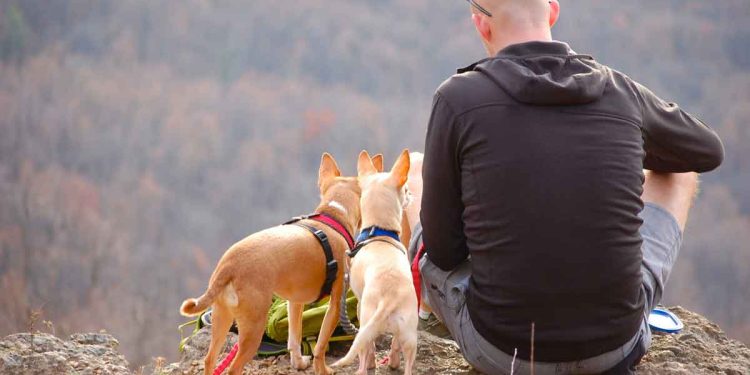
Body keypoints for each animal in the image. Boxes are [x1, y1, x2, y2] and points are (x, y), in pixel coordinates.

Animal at [179, 153, 362, 375]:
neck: (333, 216)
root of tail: (228, 266)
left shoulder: (295, 302)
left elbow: (294, 338)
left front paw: (299, 363)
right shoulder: (335, 304)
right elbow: (320, 346)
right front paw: (323, 370)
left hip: (222, 317)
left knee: (209, 359)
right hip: (253, 327)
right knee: (233, 368)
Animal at [336, 151, 424, 375]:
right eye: (406, 190)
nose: (411, 195)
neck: (378, 232)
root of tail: (389, 299)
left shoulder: (359, 304)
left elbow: (371, 350)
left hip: (366, 324)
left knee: (363, 355)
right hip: (409, 334)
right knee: (406, 359)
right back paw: (394, 363)